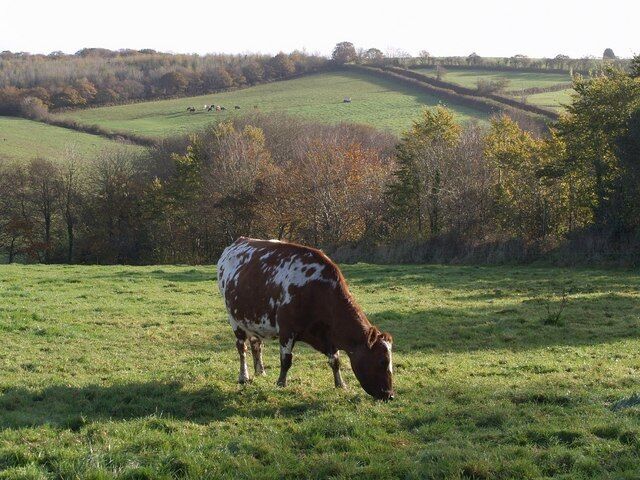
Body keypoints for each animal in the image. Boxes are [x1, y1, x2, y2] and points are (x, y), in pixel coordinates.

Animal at [217, 237, 394, 400]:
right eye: (382, 361)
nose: (390, 395)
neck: (316, 289)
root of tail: (238, 242)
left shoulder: (330, 335)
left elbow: (335, 361)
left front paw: (340, 384)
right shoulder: (287, 329)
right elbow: (286, 359)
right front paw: (281, 383)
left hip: (253, 321)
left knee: (256, 344)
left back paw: (260, 371)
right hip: (234, 318)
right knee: (242, 348)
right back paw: (244, 376)